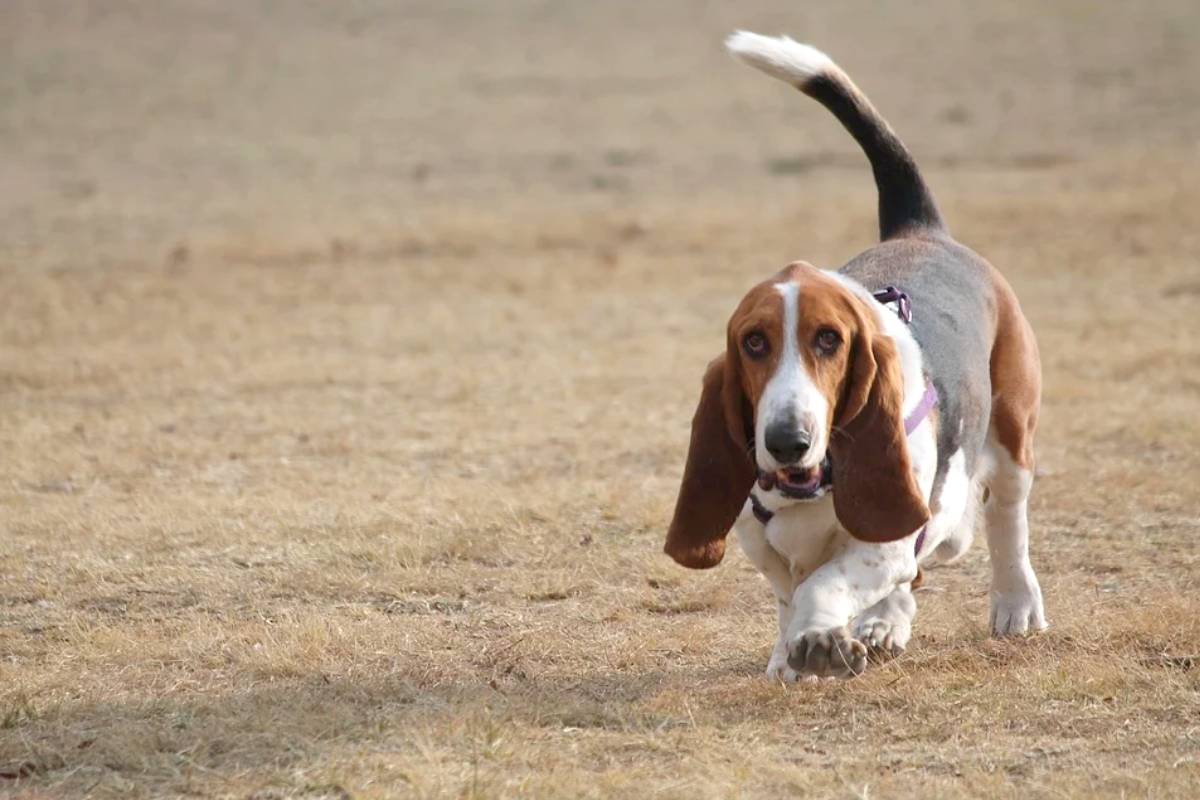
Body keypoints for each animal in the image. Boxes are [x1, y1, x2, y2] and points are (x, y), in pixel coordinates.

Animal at [662, 32, 1046, 681]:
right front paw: (792, 654)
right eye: (754, 342)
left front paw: (819, 639)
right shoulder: (762, 543)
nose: (786, 440)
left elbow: (826, 583)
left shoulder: (884, 540)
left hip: (1011, 433)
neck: (812, 486)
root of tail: (921, 229)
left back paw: (1014, 604)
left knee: (1004, 520)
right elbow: (791, 592)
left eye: (829, 340)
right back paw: (885, 622)